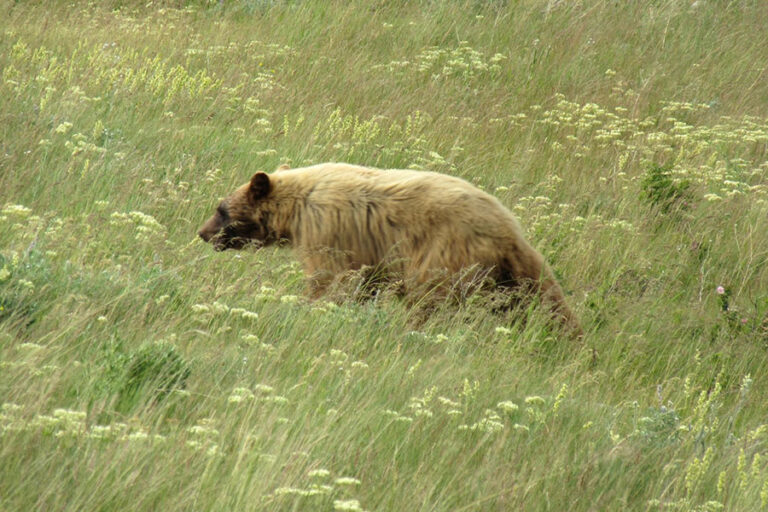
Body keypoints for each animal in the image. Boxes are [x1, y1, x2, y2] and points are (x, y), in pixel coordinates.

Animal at [200, 161, 584, 336]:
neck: (296, 207)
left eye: (221, 209)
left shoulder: (327, 229)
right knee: (543, 302)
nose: (203, 233)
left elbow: (329, 280)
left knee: (429, 299)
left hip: (443, 256)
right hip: (514, 274)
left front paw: (305, 306)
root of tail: (509, 230)